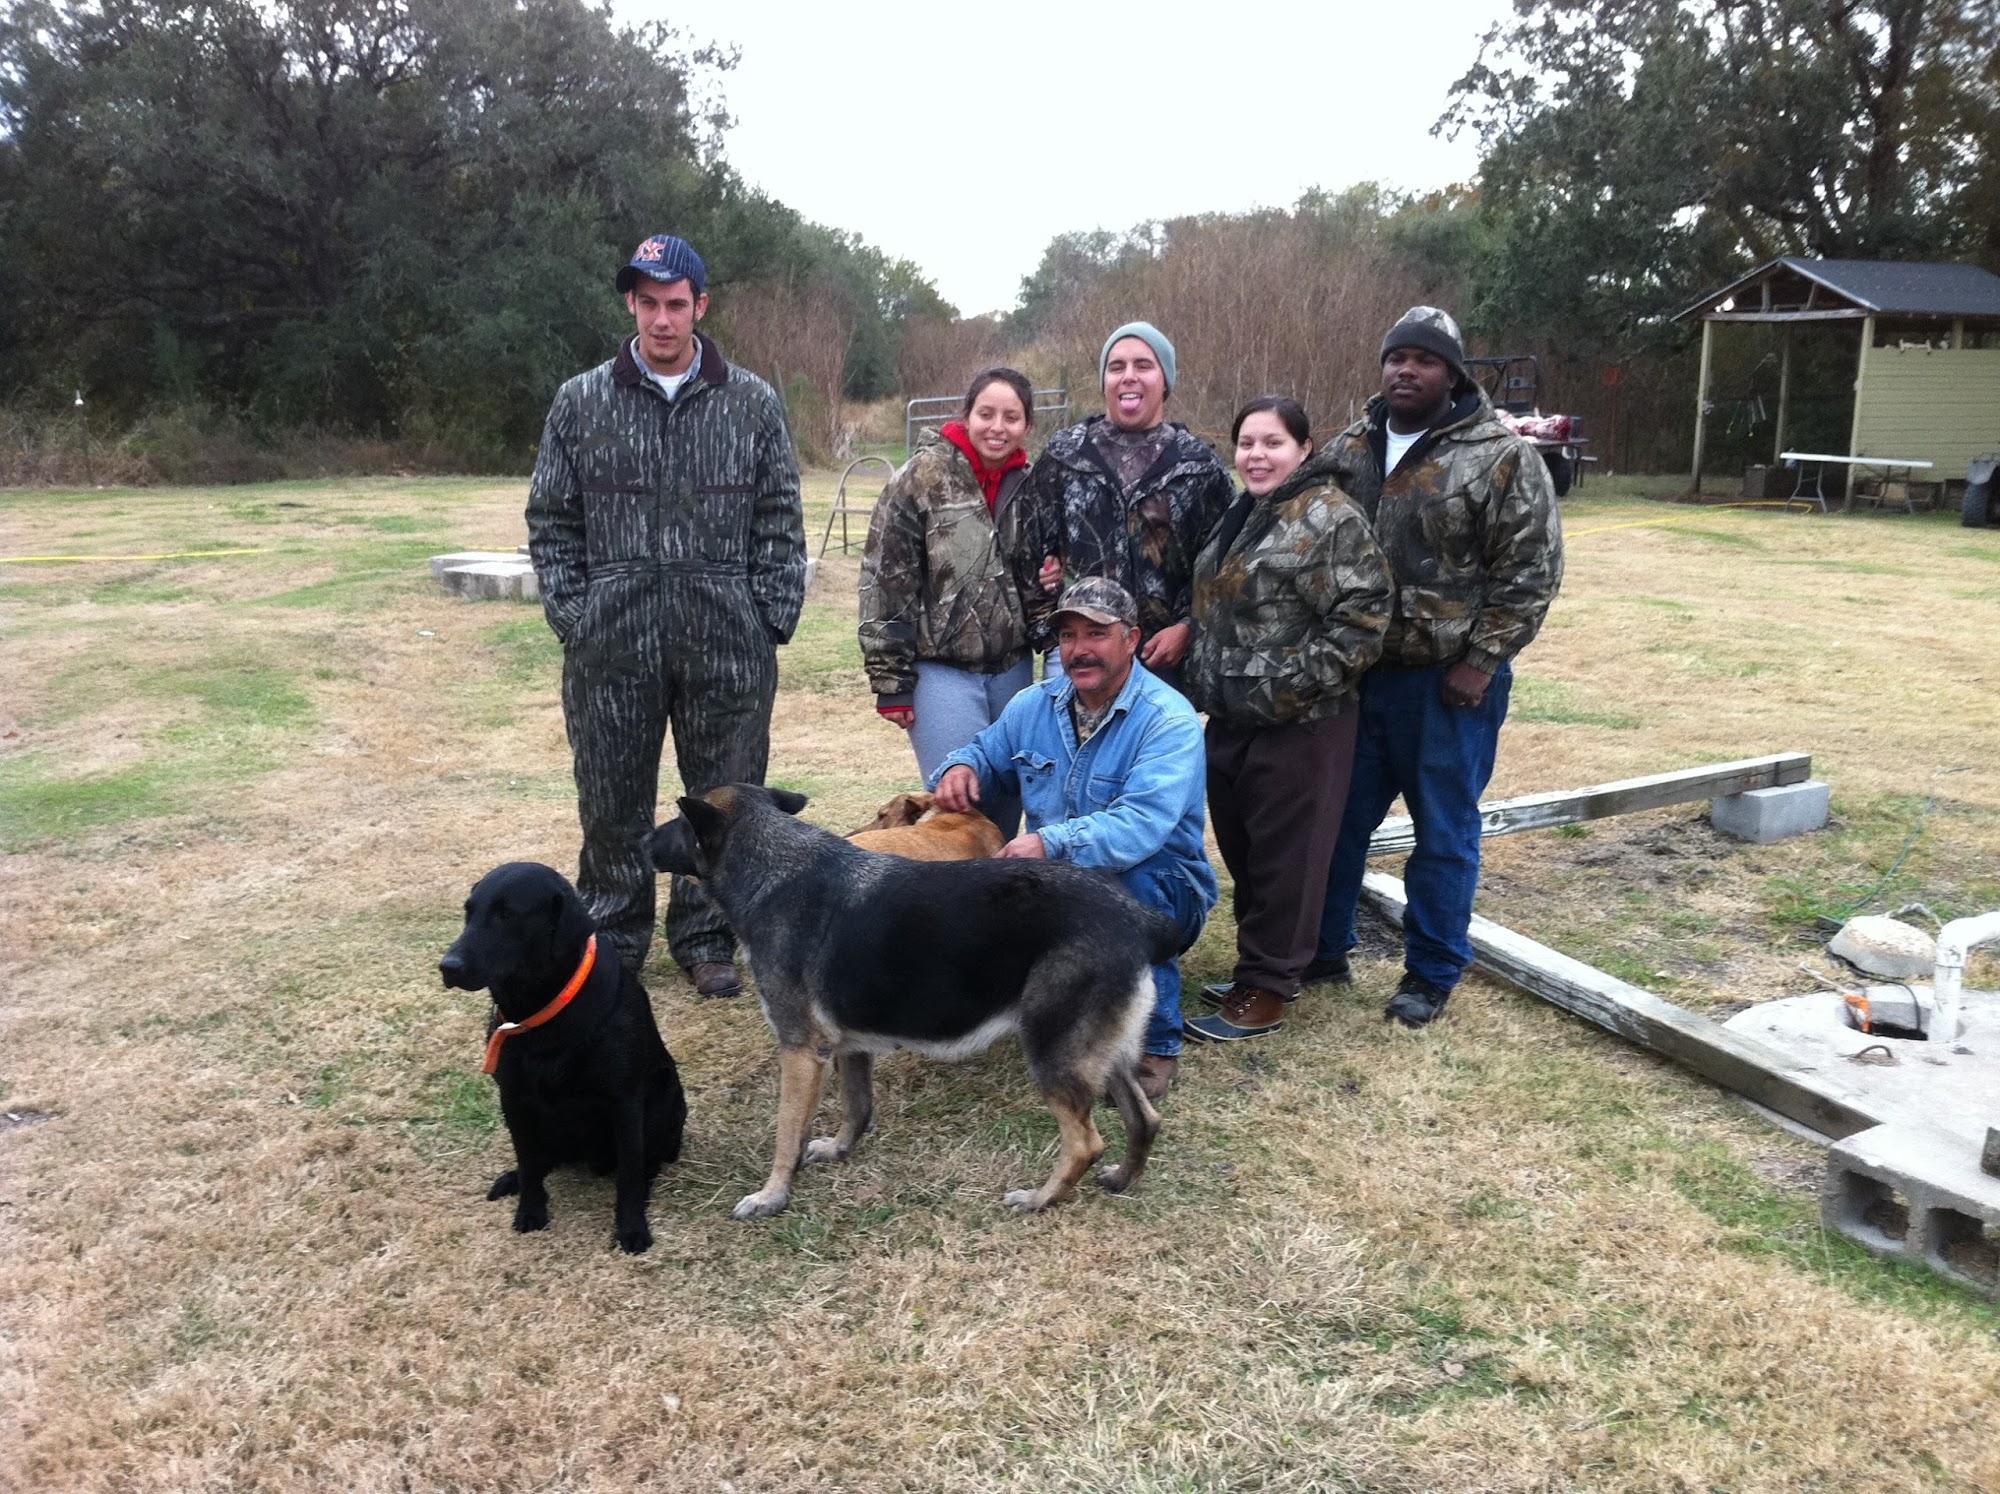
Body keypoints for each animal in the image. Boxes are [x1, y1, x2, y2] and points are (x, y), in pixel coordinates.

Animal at [439, 862, 687, 1253]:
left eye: (506, 914)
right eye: (469, 912)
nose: (448, 966)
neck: (539, 1011)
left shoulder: (625, 1101)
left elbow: (630, 1173)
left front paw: (632, 1228)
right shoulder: (512, 1099)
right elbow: (527, 1162)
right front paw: (530, 1210)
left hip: (667, 1097)